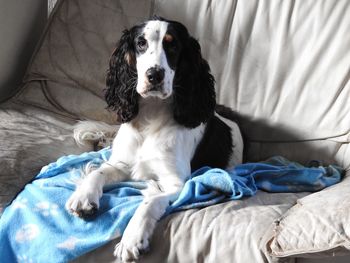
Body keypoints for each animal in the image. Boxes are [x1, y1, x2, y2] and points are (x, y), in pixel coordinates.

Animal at [65, 16, 243, 262]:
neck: (150, 117)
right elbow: (97, 172)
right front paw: (83, 196)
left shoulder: (178, 182)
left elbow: (150, 201)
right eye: (141, 43)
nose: (154, 75)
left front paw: (132, 238)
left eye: (173, 45)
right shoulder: (121, 164)